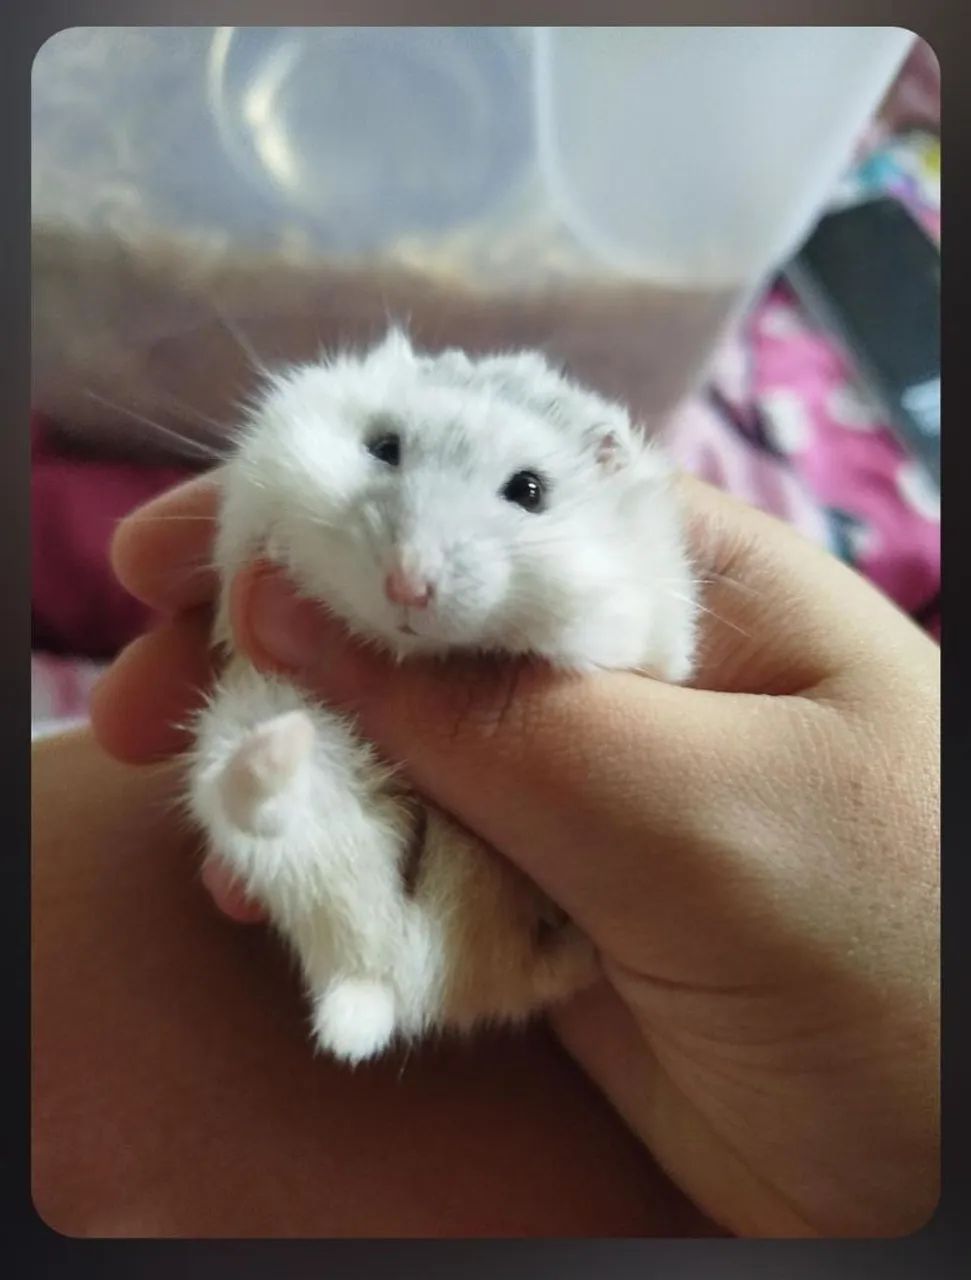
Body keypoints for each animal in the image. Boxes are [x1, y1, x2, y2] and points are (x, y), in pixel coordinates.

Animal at [187, 329, 699, 1064]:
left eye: (529, 490)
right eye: (383, 447)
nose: (407, 587)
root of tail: (410, 985)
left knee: (527, 972)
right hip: (266, 786)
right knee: (271, 820)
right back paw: (283, 744)